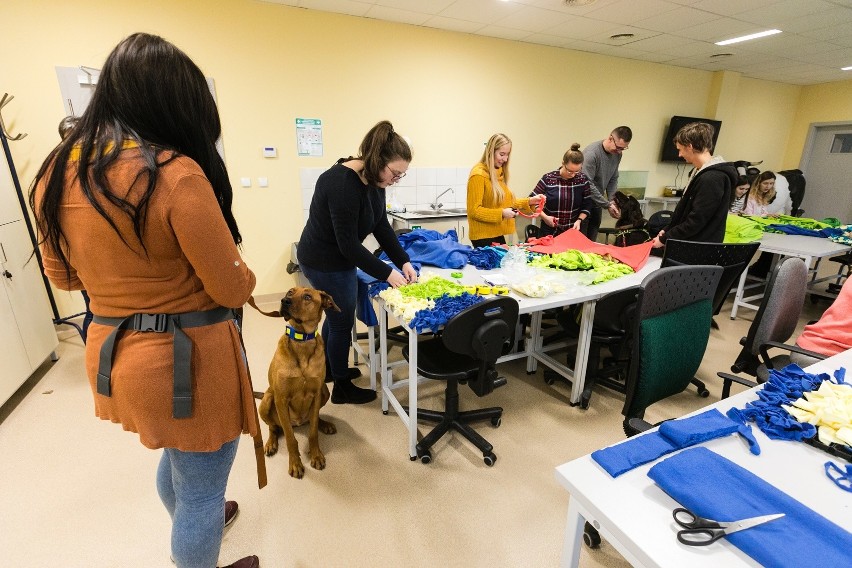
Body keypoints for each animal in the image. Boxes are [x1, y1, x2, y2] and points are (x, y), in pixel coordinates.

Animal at [258, 286, 342, 478]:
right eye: (290, 292)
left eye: (308, 297)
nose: (284, 301)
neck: (301, 339)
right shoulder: (281, 399)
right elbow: (290, 439)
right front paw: (295, 463)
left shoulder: (317, 393)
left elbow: (313, 433)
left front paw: (316, 455)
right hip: (267, 399)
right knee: (273, 427)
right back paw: (271, 443)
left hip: (325, 391)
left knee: (313, 418)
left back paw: (324, 424)